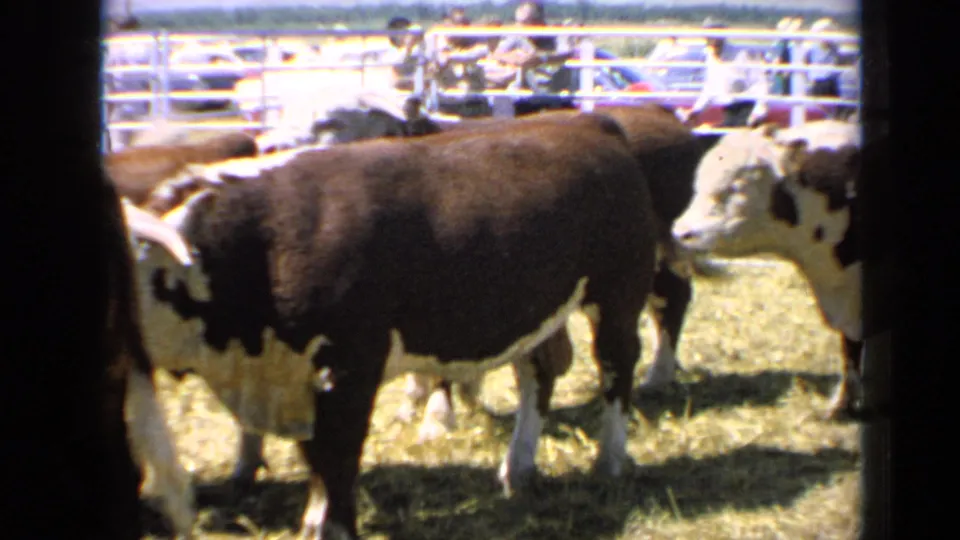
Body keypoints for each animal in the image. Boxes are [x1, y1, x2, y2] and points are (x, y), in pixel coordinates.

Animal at [136, 112, 660, 539]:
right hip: (540, 312)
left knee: (616, 370)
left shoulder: (347, 369)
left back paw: (610, 461)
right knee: (539, 373)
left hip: (618, 294)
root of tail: (589, 123)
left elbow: (337, 458)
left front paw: (333, 529)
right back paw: (518, 468)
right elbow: (317, 464)